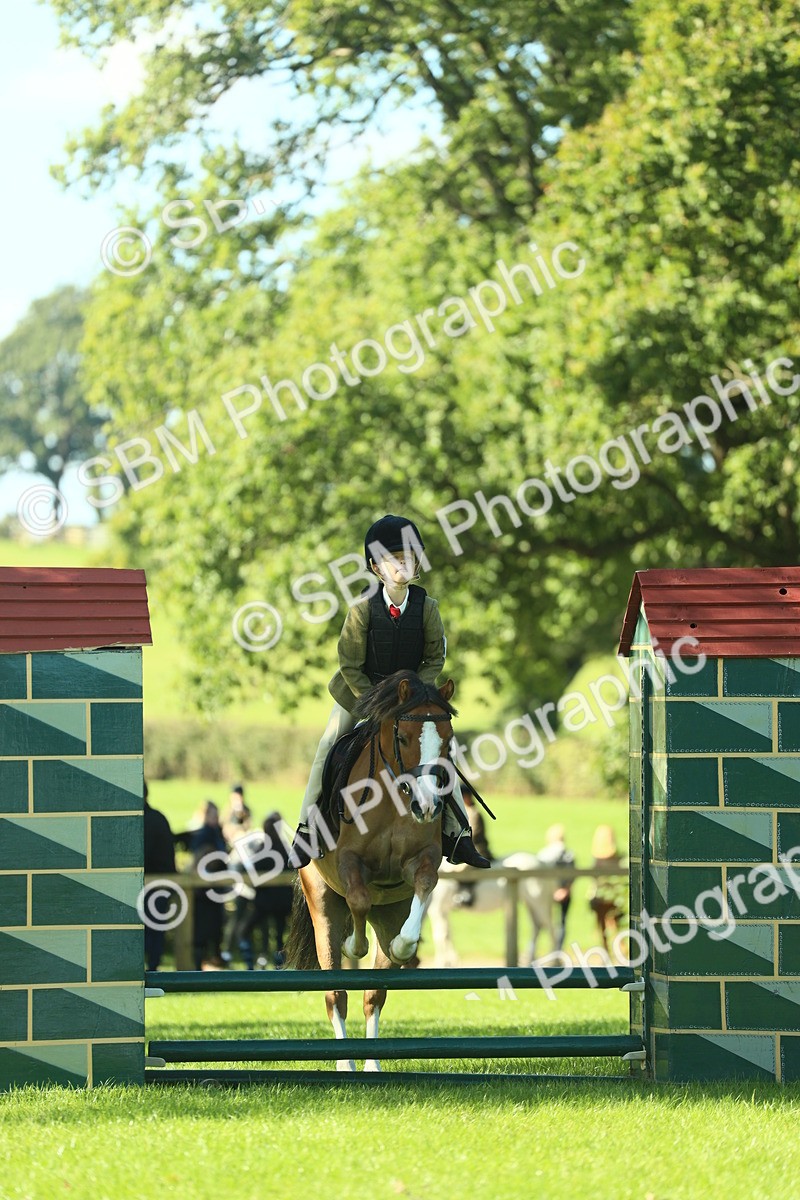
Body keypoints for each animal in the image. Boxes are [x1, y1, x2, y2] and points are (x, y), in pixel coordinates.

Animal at [285, 669, 457, 1071]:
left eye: (448, 740)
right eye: (402, 737)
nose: (428, 806)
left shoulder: (422, 859)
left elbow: (424, 885)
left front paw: (404, 946)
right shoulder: (349, 861)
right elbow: (359, 899)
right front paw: (354, 943)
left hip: (388, 912)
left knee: (372, 995)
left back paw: (371, 1065)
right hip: (321, 903)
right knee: (335, 993)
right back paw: (345, 1064)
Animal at [426, 853, 556, 968]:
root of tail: (542, 863)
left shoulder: (438, 910)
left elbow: (441, 936)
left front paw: (443, 963)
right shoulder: (442, 911)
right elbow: (447, 935)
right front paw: (451, 962)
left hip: (540, 904)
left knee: (550, 928)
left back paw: (553, 960)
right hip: (530, 903)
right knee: (537, 926)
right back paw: (532, 960)